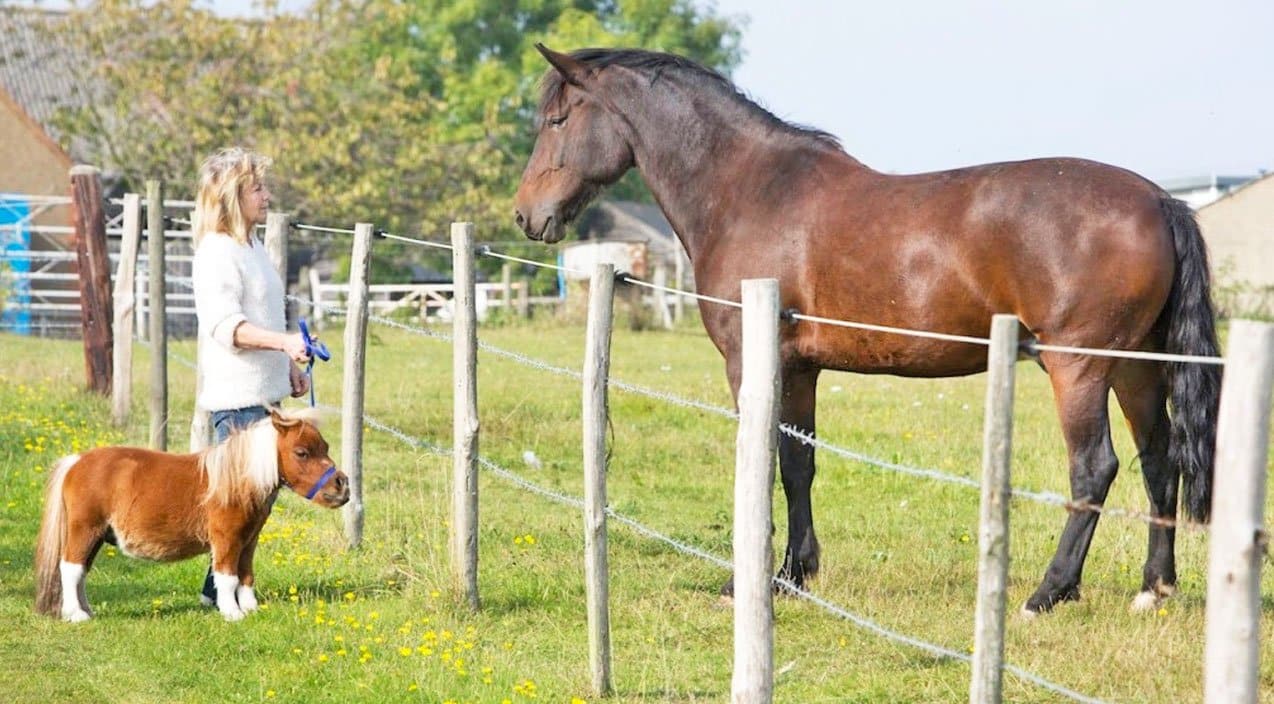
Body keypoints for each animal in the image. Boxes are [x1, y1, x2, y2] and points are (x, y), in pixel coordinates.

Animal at [37, 407, 351, 621]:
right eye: (301, 452)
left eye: (325, 447)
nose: (342, 485)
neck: (235, 480)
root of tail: (76, 461)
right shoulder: (227, 539)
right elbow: (227, 576)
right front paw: (232, 613)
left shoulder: (249, 540)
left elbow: (246, 574)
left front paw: (250, 608)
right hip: (84, 530)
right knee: (71, 568)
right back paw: (76, 614)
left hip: (97, 535)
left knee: (81, 571)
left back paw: (85, 609)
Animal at [512, 45, 1217, 616]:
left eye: (557, 120)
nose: (526, 214)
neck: (750, 191)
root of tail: (1159, 199)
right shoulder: (800, 367)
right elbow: (797, 463)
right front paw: (793, 575)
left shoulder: (751, 361)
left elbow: (763, 462)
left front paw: (747, 583)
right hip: (1134, 366)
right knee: (1160, 461)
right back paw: (1153, 588)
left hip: (1078, 366)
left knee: (1095, 469)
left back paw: (1048, 593)